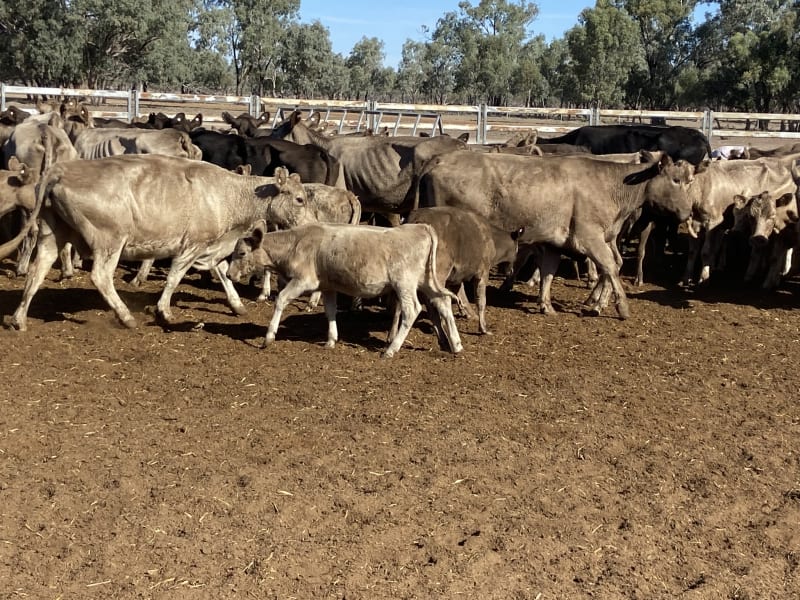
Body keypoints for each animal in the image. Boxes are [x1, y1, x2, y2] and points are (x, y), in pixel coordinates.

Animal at [3, 155, 309, 331]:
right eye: (299, 198)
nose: (309, 224)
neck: (228, 193)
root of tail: (60, 170)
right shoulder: (192, 245)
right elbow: (174, 277)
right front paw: (164, 311)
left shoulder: (212, 247)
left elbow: (222, 272)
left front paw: (237, 306)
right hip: (110, 240)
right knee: (100, 276)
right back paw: (126, 317)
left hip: (52, 234)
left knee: (36, 272)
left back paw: (19, 319)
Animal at [226, 223, 464, 358]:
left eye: (241, 253)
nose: (228, 274)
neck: (296, 243)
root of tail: (420, 227)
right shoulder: (328, 286)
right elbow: (330, 311)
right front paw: (331, 340)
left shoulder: (303, 280)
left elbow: (281, 300)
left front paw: (268, 337)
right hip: (426, 281)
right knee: (443, 303)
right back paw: (456, 345)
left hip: (403, 283)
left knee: (412, 309)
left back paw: (391, 349)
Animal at [417, 151, 696, 317]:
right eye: (676, 180)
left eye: (690, 180)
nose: (688, 211)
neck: (609, 185)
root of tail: (440, 158)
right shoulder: (590, 238)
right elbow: (610, 266)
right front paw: (621, 306)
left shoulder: (556, 242)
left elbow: (550, 272)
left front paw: (548, 304)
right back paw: (466, 309)